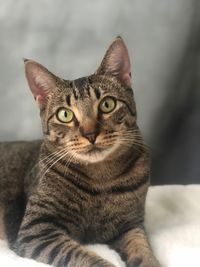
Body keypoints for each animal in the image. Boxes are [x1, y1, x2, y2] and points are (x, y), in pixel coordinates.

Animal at [0, 37, 159, 267]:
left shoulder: (131, 224)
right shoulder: (37, 229)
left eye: (107, 104)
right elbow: (81, 256)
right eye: (65, 114)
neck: (102, 179)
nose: (90, 133)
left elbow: (143, 249)